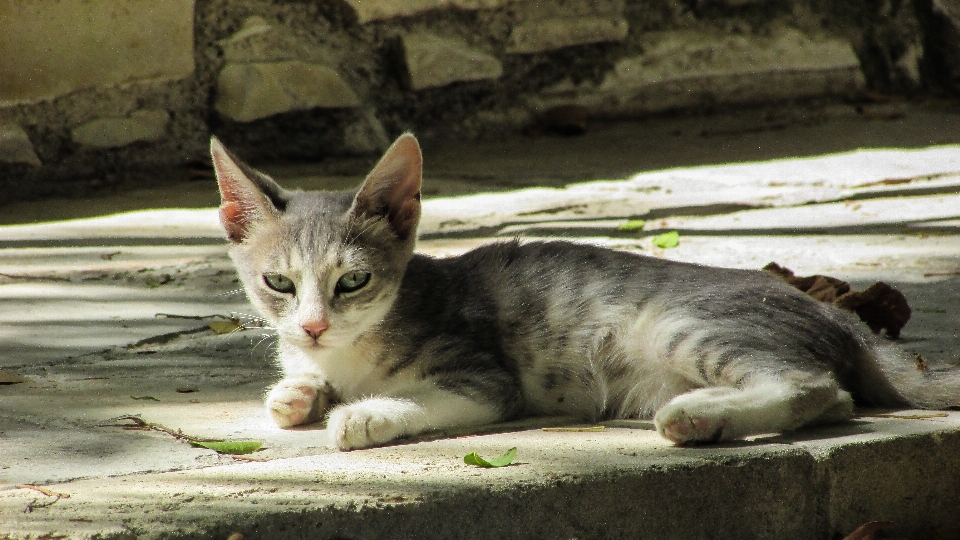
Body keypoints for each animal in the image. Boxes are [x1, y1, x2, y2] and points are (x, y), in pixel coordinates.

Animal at [210, 132, 960, 452]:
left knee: (813, 384)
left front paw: (363, 413)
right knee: (835, 400)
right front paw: (297, 390)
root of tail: (841, 319)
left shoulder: (485, 377)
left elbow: (430, 394)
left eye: (353, 281)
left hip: (681, 325)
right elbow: (296, 389)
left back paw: (695, 415)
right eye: (278, 283)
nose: (312, 326)